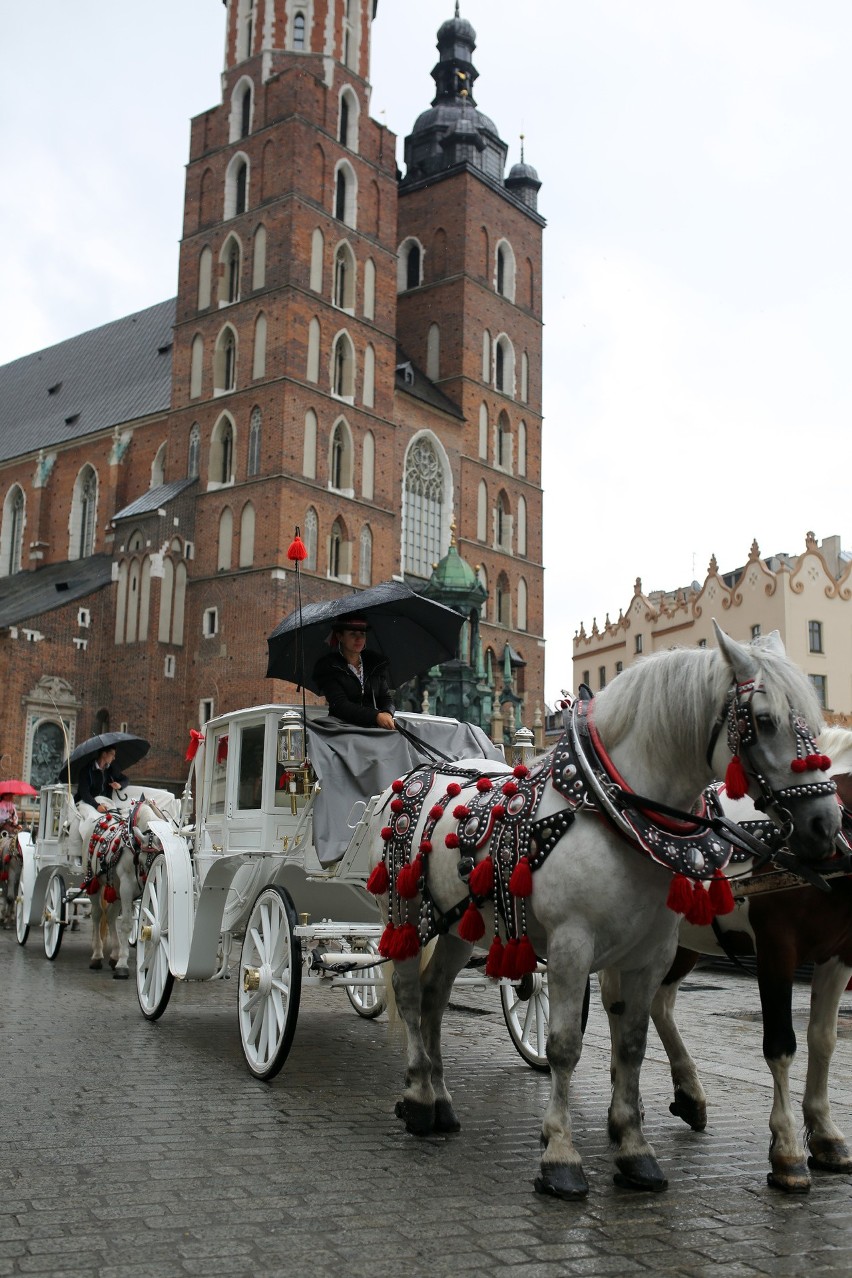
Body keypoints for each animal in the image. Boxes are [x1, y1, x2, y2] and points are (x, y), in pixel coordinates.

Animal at [646, 731, 852, 1196]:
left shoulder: (838, 954)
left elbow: (824, 1040)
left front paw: (826, 1133)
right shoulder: (776, 949)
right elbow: (781, 1045)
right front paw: (788, 1151)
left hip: (680, 942)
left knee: (656, 1005)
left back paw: (689, 1094)